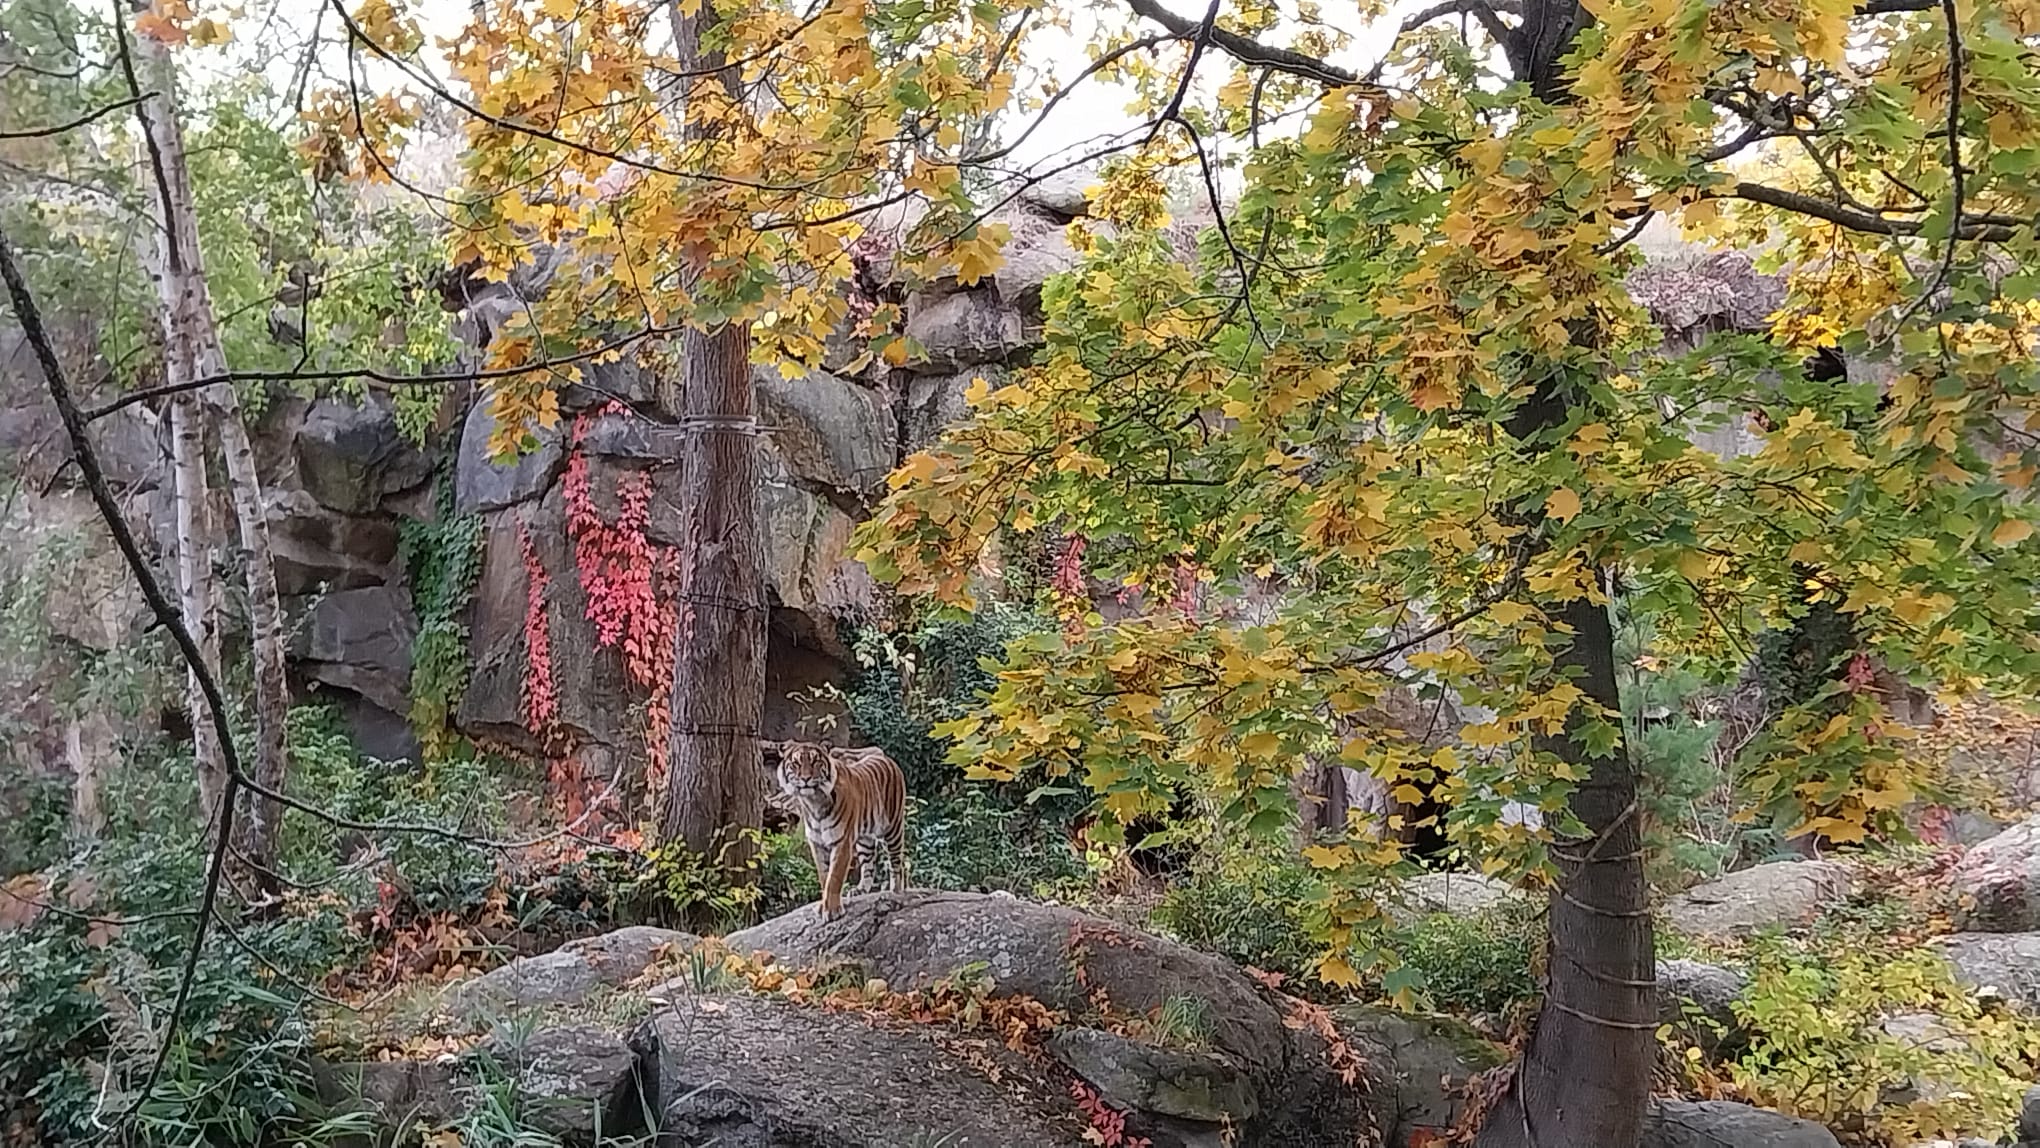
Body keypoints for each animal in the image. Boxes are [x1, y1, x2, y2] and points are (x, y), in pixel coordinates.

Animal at [771, 742, 909, 921]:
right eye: (796, 763)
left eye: (816, 762)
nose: (806, 778)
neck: (814, 802)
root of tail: (887, 758)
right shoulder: (817, 843)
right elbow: (824, 876)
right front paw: (824, 905)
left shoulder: (842, 841)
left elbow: (835, 876)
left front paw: (832, 910)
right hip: (864, 840)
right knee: (868, 865)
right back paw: (860, 889)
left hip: (892, 828)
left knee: (897, 861)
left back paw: (896, 890)